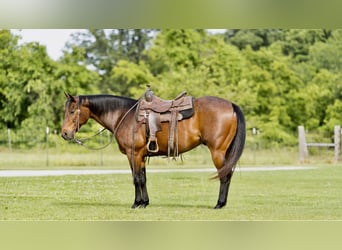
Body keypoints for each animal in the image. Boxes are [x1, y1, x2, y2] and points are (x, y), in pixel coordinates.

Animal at [60, 92, 244, 209]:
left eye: (72, 111)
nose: (65, 134)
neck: (124, 116)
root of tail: (231, 105)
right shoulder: (141, 156)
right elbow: (143, 178)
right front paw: (145, 202)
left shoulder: (133, 154)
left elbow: (136, 179)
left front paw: (137, 203)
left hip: (217, 151)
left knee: (224, 176)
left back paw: (219, 204)